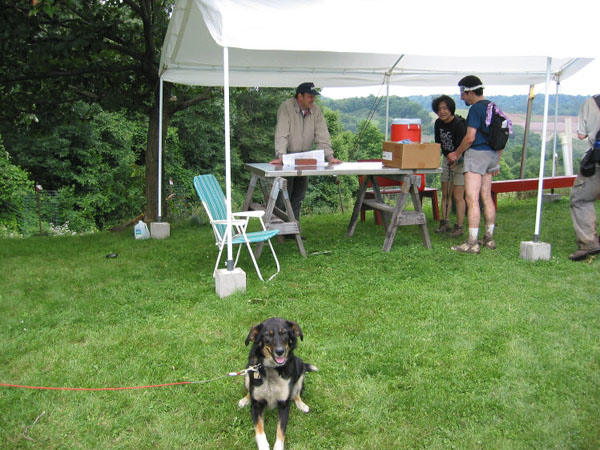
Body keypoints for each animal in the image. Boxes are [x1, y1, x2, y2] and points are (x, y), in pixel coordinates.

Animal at [237, 316, 316, 450]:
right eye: (267, 335)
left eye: (284, 333)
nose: (280, 351)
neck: (272, 369)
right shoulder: (256, 405)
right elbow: (259, 430)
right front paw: (263, 445)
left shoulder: (284, 404)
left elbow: (280, 432)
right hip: (248, 373)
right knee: (249, 391)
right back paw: (245, 399)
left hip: (300, 368)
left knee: (296, 394)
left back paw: (302, 405)